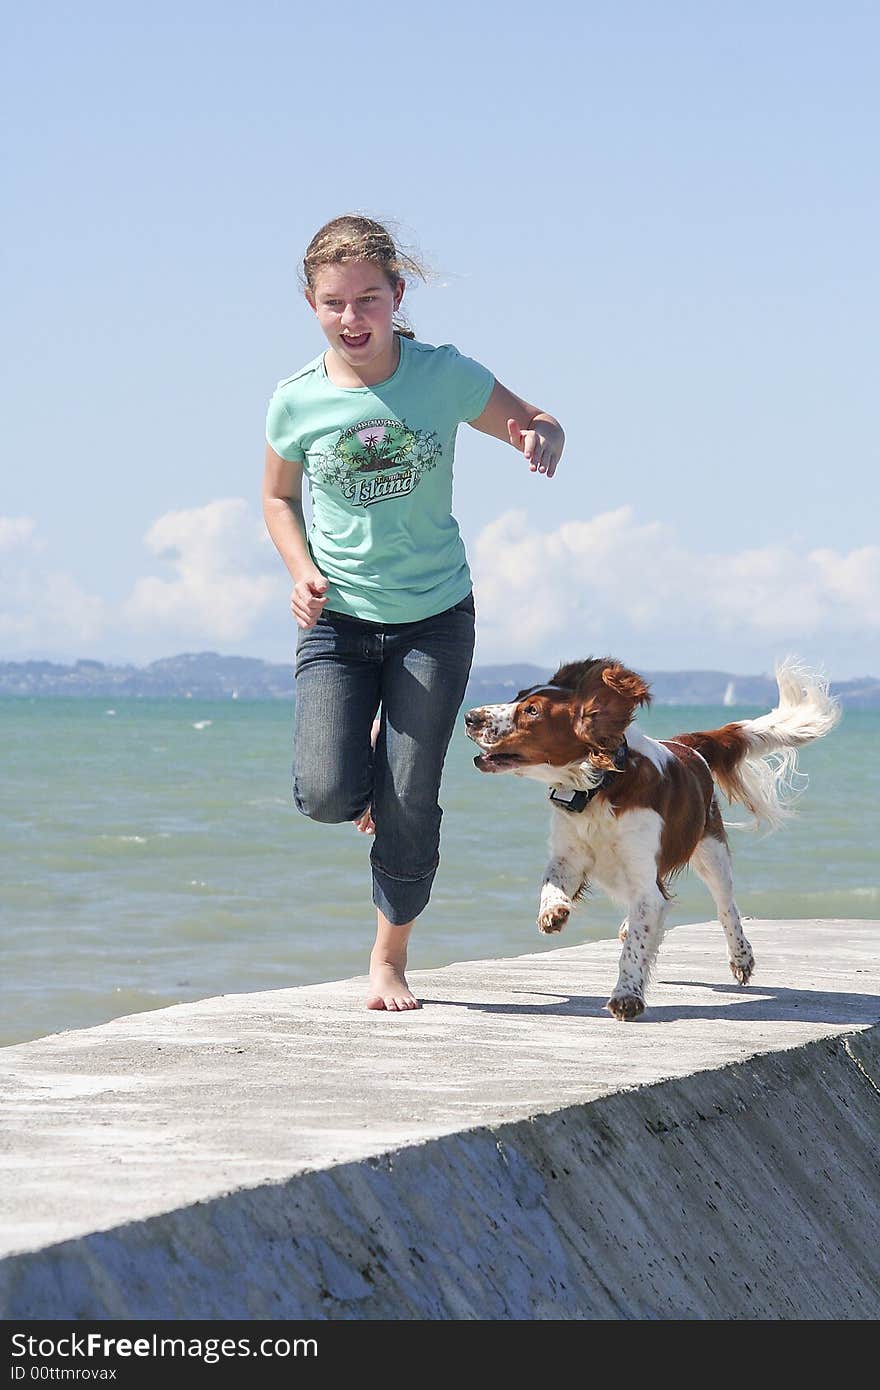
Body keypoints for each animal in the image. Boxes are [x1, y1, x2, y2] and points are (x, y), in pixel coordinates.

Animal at [464, 650, 839, 1023]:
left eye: (532, 711)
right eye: (517, 696)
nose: (470, 716)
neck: (599, 789)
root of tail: (687, 743)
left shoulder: (644, 874)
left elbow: (637, 943)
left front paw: (626, 996)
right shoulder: (569, 855)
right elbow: (552, 883)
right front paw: (554, 911)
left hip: (711, 851)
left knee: (726, 906)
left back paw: (741, 957)